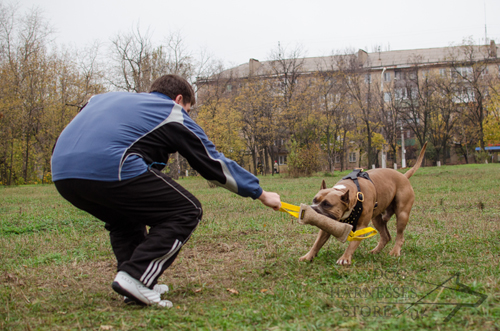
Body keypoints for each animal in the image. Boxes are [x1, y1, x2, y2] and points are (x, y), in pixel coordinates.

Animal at [298, 143, 428, 268]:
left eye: (327, 204)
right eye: (314, 200)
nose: (312, 209)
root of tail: (403, 176)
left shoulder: (361, 227)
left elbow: (352, 244)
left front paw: (345, 258)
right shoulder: (328, 225)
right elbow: (317, 243)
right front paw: (308, 256)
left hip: (402, 214)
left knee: (400, 236)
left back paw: (395, 252)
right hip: (377, 219)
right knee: (386, 236)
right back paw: (375, 251)